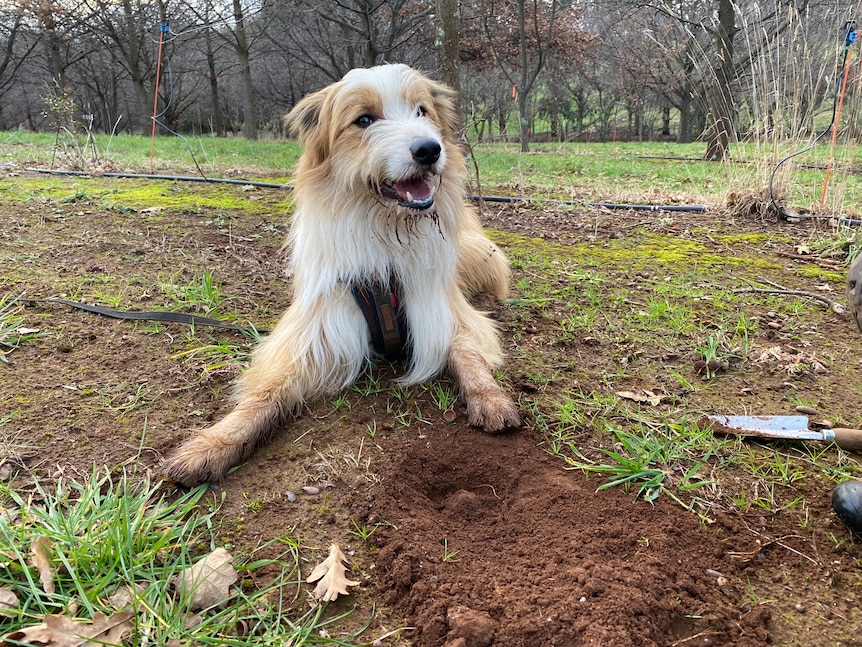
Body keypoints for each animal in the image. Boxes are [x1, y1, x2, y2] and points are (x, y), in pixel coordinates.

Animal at [166, 66, 524, 488]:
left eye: (421, 111)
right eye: (364, 120)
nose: (429, 149)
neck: (385, 233)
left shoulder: (440, 308)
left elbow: (468, 352)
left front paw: (489, 397)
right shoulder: (317, 328)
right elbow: (268, 391)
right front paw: (215, 443)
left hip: (477, 251)